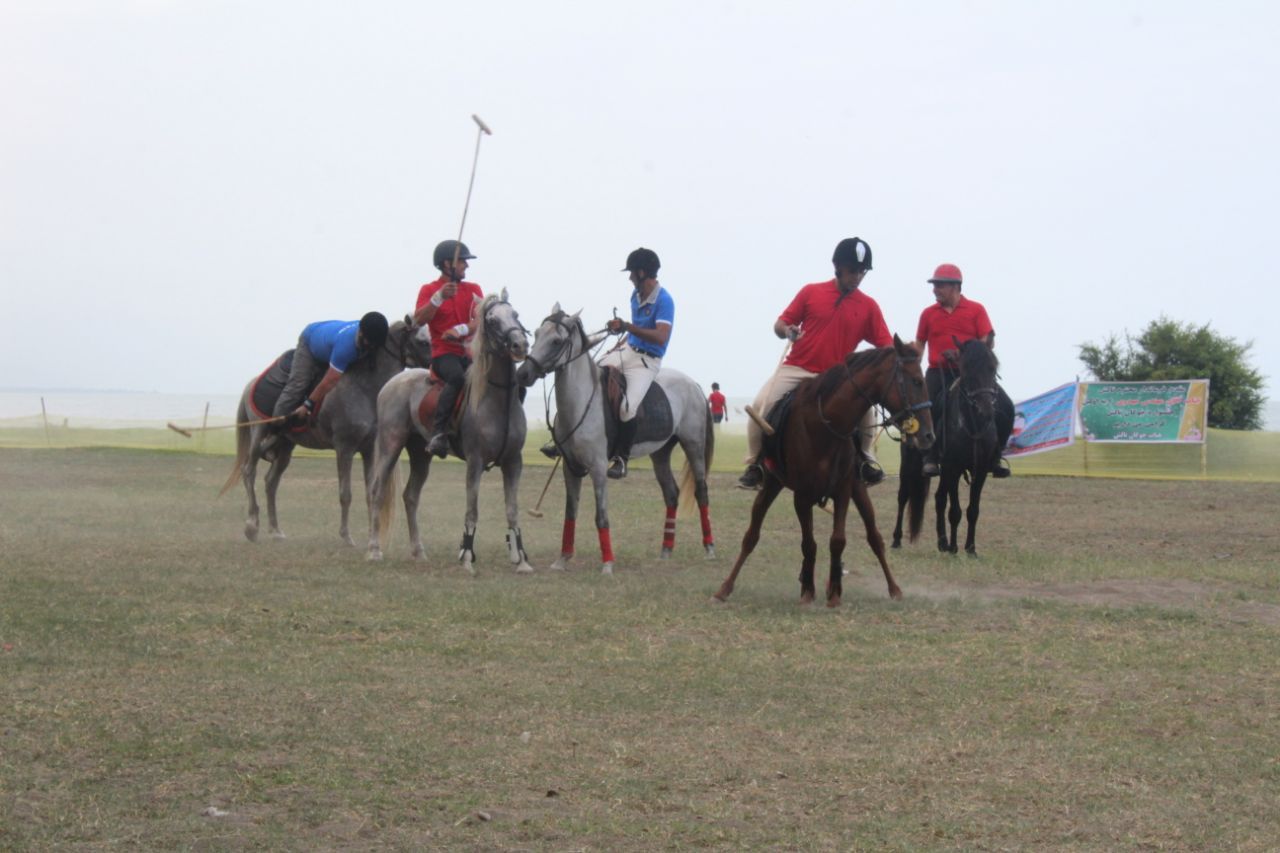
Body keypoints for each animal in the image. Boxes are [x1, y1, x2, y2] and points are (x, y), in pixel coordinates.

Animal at [222, 315, 432, 540]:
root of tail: (250, 385)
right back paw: (252, 525)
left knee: (271, 482)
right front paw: (346, 536)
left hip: (285, 446)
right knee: (248, 470)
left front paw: (370, 535)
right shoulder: (344, 448)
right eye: (422, 341)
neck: (363, 388)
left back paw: (276, 530)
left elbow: (370, 493)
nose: (433, 367)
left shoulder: (368, 451)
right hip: (258, 432)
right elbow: (345, 494)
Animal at [368, 289, 532, 573]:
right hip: (391, 445)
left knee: (411, 497)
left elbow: (512, 511)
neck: (497, 401)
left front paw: (521, 560)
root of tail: (392, 383)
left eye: (515, 314)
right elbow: (472, 510)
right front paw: (467, 557)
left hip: (421, 454)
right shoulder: (475, 462)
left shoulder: (514, 462)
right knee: (378, 491)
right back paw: (375, 549)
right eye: (492, 320)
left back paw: (418, 551)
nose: (519, 345)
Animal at [519, 302, 721, 573]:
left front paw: (607, 563)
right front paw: (562, 559)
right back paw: (666, 550)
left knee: (701, 491)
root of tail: (695, 385)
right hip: (661, 452)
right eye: (538, 334)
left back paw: (709, 548)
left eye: (556, 341)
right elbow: (570, 513)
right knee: (671, 493)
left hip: (693, 445)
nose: (523, 374)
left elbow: (600, 516)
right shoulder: (570, 467)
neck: (581, 401)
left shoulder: (598, 467)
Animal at [716, 335, 936, 607]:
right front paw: (809, 590)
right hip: (772, 484)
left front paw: (833, 594)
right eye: (916, 381)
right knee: (751, 535)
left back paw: (892, 588)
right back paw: (725, 587)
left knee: (875, 537)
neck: (825, 425)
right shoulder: (802, 496)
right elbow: (808, 544)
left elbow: (838, 540)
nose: (928, 435)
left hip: (858, 488)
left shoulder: (843, 490)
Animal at [896, 335, 1003, 555]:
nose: (986, 411)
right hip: (910, 464)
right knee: (903, 496)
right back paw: (897, 540)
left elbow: (972, 510)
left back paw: (942, 542)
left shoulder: (980, 470)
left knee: (939, 499)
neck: (972, 424)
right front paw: (955, 547)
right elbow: (955, 510)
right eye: (966, 369)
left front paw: (970, 548)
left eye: (993, 367)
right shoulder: (953, 467)